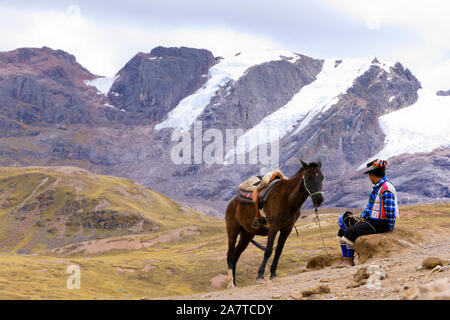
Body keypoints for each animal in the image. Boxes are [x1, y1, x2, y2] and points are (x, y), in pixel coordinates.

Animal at [225, 160, 324, 288]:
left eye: (322, 178)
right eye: (308, 178)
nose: (319, 199)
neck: (287, 199)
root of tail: (232, 202)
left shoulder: (286, 229)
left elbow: (278, 251)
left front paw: (273, 274)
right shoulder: (274, 228)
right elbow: (268, 251)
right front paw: (260, 276)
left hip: (247, 235)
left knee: (236, 256)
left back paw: (234, 282)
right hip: (233, 231)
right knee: (230, 255)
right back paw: (230, 283)